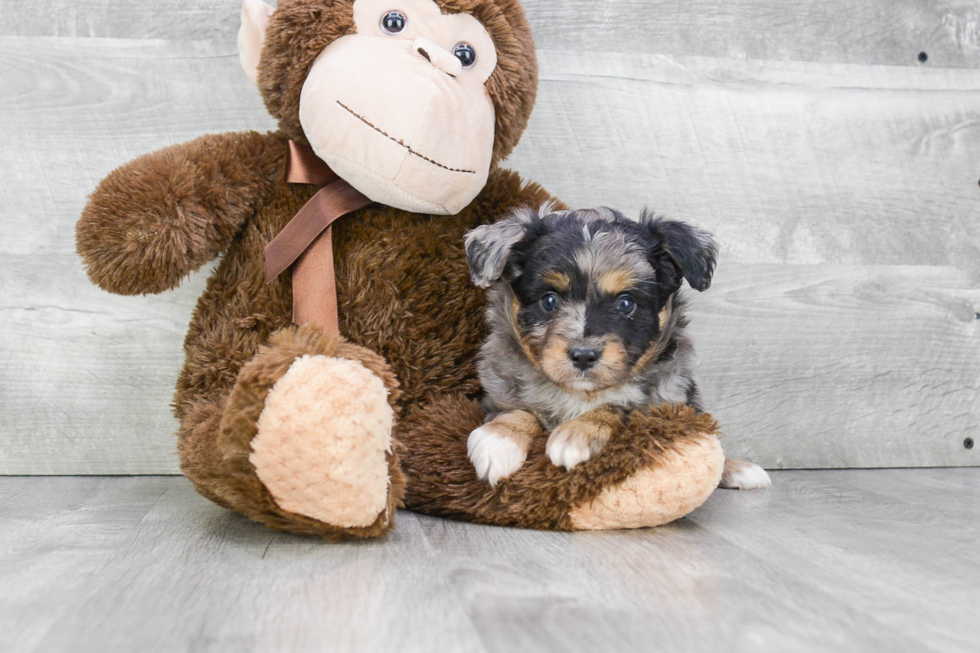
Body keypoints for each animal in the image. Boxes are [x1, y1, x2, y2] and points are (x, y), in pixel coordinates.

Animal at [464, 205, 768, 488]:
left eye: (625, 303)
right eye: (549, 300)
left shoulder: (667, 404)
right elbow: (516, 409)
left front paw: (578, 433)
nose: (583, 356)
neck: (582, 394)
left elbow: (620, 406)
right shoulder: (499, 390)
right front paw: (499, 438)